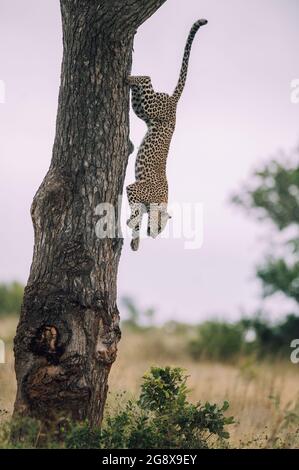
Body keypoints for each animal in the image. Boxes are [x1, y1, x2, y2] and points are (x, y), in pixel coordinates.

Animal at [126, 19, 209, 250]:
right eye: (160, 226)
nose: (153, 235)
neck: (160, 200)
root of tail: (174, 102)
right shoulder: (133, 188)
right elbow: (136, 213)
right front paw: (133, 223)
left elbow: (137, 216)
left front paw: (135, 241)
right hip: (151, 104)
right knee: (147, 77)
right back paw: (127, 77)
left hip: (142, 109)